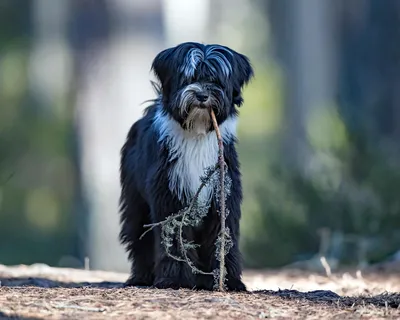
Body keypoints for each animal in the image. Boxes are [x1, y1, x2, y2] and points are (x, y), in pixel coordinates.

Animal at [118, 41, 253, 292]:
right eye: (189, 77)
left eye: (216, 79)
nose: (202, 95)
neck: (197, 135)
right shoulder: (169, 194)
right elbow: (174, 240)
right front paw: (175, 279)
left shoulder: (223, 195)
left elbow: (221, 236)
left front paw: (227, 280)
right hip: (136, 203)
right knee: (139, 239)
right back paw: (141, 277)